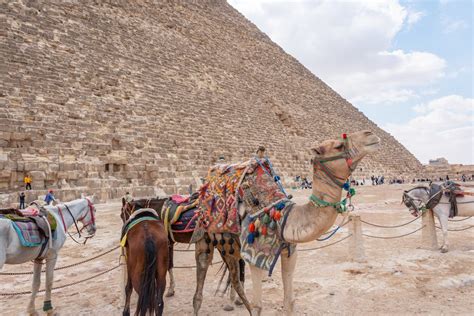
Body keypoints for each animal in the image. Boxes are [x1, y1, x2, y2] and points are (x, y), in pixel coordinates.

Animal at [191, 130, 380, 314]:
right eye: (339, 145)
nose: (371, 134)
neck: (283, 217)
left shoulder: (289, 252)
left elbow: (289, 301)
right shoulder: (254, 255)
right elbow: (257, 306)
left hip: (232, 247)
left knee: (235, 277)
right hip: (205, 238)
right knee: (203, 278)